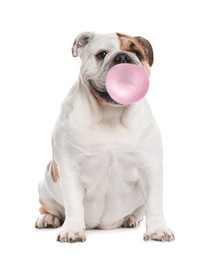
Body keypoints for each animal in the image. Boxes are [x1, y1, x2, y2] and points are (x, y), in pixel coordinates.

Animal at [35, 32, 174, 242]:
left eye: (137, 54)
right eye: (102, 54)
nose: (123, 57)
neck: (111, 115)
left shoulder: (151, 169)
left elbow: (154, 204)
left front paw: (158, 230)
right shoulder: (69, 169)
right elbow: (73, 204)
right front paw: (72, 230)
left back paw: (130, 219)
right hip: (45, 183)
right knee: (52, 208)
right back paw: (48, 218)